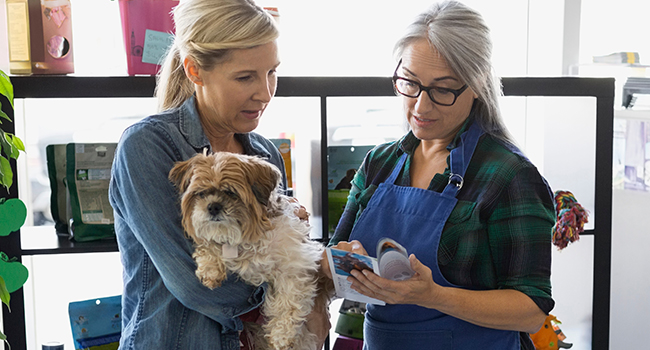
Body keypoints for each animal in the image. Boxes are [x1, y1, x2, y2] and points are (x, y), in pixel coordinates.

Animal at [168, 152, 330, 350]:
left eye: (231, 192)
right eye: (201, 193)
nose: (213, 206)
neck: (248, 239)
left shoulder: (295, 267)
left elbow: (289, 302)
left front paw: (281, 335)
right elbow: (210, 244)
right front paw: (210, 269)